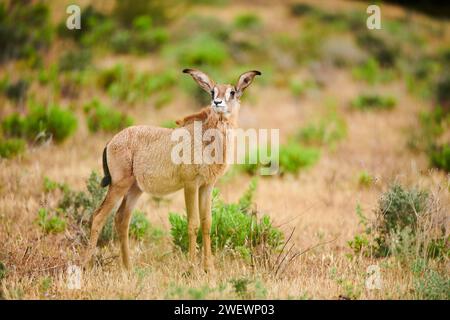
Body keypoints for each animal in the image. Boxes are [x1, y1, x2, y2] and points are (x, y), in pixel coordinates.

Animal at [82, 69, 262, 272]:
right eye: (212, 92)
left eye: (232, 92)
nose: (217, 103)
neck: (206, 139)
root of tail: (111, 142)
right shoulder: (190, 185)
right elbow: (192, 223)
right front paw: (191, 268)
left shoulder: (207, 186)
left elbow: (207, 223)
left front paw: (209, 269)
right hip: (118, 186)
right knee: (98, 217)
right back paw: (86, 266)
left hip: (135, 189)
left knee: (121, 219)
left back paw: (129, 269)